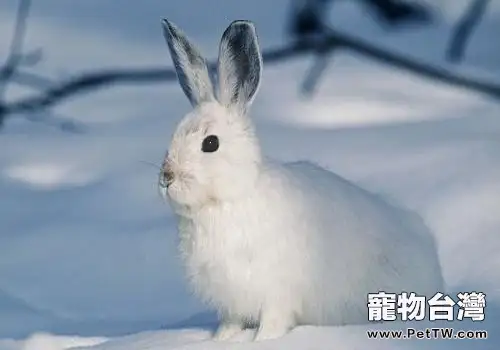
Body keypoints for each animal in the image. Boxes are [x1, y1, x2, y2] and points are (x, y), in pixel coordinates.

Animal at [158, 19, 444, 342]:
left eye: (210, 143)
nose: (166, 176)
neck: (229, 198)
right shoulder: (231, 303)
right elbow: (231, 323)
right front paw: (220, 340)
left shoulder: (277, 294)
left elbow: (274, 321)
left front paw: (263, 341)